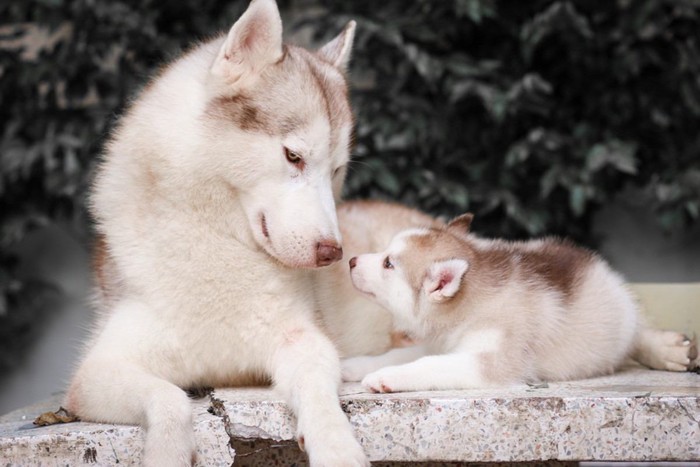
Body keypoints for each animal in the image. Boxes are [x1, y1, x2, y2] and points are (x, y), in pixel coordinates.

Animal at [67, 1, 372, 466]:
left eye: (336, 170)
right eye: (294, 156)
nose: (331, 253)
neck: (221, 244)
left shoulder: (305, 341)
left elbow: (320, 393)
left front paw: (337, 446)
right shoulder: (94, 375)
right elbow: (169, 399)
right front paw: (167, 452)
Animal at [342, 214, 696, 394]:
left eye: (388, 264)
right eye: (385, 253)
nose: (351, 260)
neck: (470, 306)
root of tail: (601, 268)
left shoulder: (494, 360)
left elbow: (430, 365)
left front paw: (386, 377)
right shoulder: (439, 342)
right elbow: (400, 354)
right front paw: (355, 365)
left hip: (621, 320)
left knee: (638, 334)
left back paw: (668, 350)